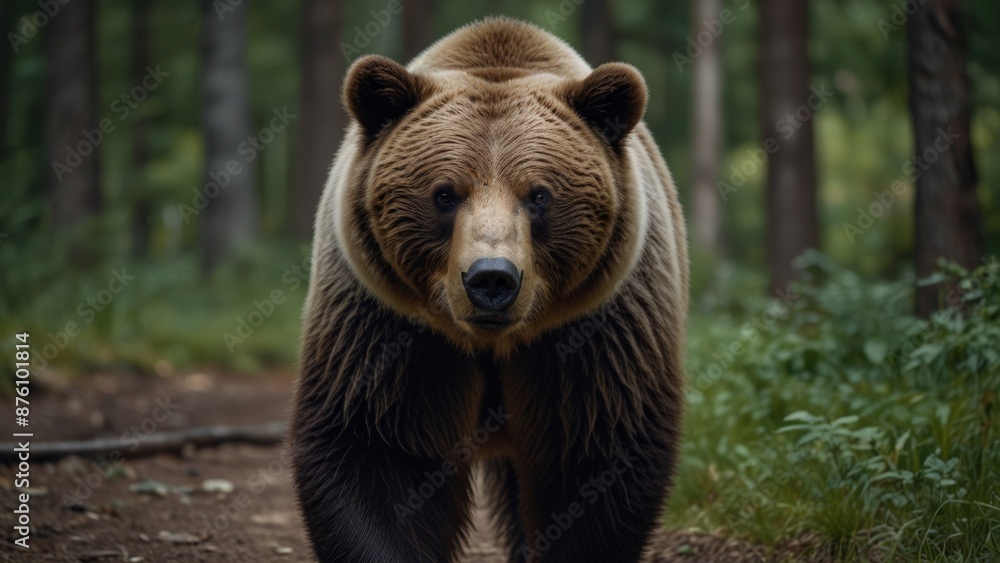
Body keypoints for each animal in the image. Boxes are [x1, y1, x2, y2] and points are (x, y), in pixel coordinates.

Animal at [291, 17, 688, 563]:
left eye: (539, 195)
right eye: (444, 193)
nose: (492, 278)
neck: (492, 341)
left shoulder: (596, 331)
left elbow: (595, 458)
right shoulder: (387, 323)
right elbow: (375, 449)